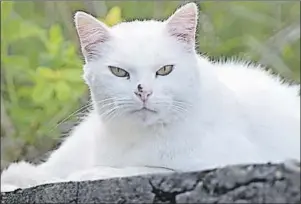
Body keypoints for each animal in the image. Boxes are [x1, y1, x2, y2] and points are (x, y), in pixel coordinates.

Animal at [1, 2, 298, 192]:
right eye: (119, 72)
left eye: (165, 70)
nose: (143, 91)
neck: (141, 137)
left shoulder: (229, 158)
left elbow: (148, 168)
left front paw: (92, 173)